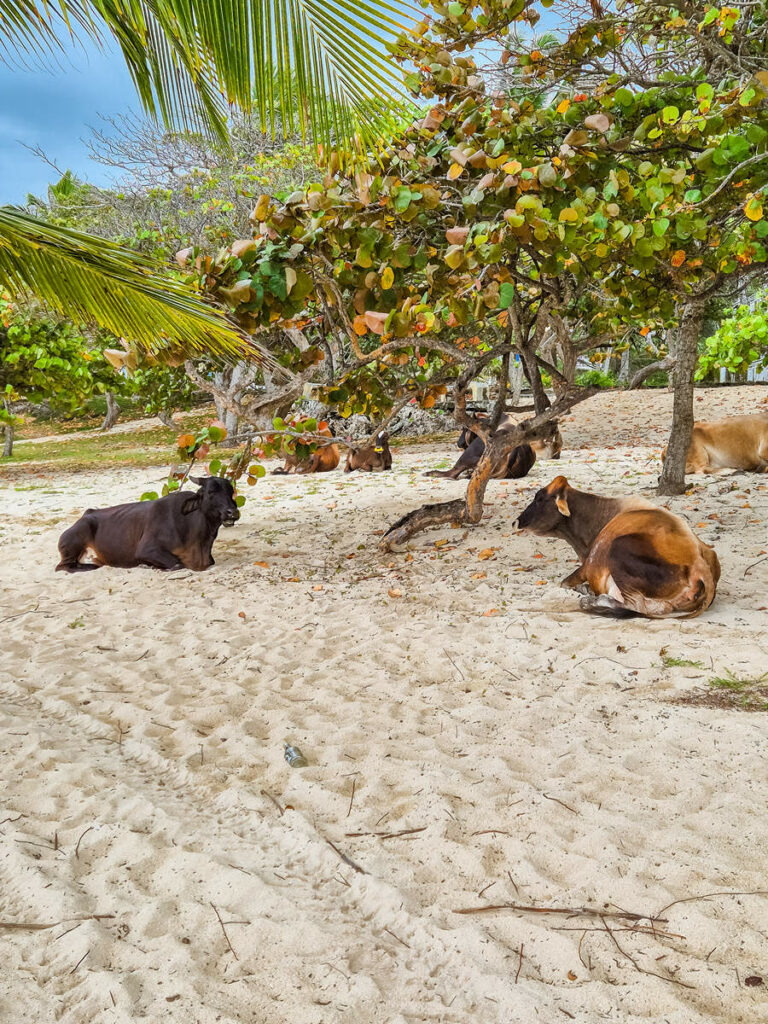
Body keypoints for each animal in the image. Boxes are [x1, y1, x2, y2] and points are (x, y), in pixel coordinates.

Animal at [56, 475, 240, 573]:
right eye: (211, 492)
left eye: (231, 491)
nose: (232, 512)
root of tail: (87, 514)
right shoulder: (147, 549)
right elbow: (177, 563)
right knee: (63, 566)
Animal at [518, 477, 720, 618]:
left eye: (540, 498)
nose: (518, 520)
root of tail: (699, 563)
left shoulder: (588, 565)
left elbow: (564, 583)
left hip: (618, 549)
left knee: (638, 606)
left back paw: (592, 600)